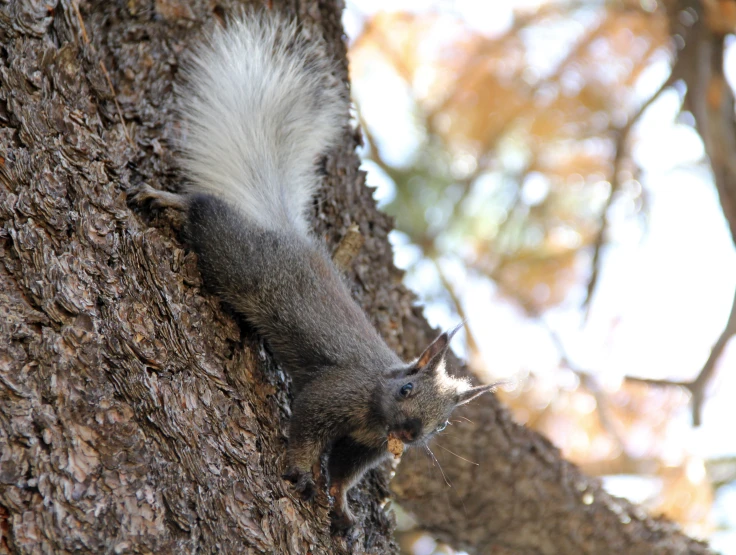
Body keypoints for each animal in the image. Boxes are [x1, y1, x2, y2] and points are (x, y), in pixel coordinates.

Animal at [134, 7, 500, 528]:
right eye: (407, 388)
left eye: (444, 423)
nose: (411, 434)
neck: (374, 414)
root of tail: (288, 233)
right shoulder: (335, 391)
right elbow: (306, 427)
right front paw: (300, 470)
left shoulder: (364, 446)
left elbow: (346, 473)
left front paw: (342, 507)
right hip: (239, 259)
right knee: (206, 211)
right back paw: (168, 200)